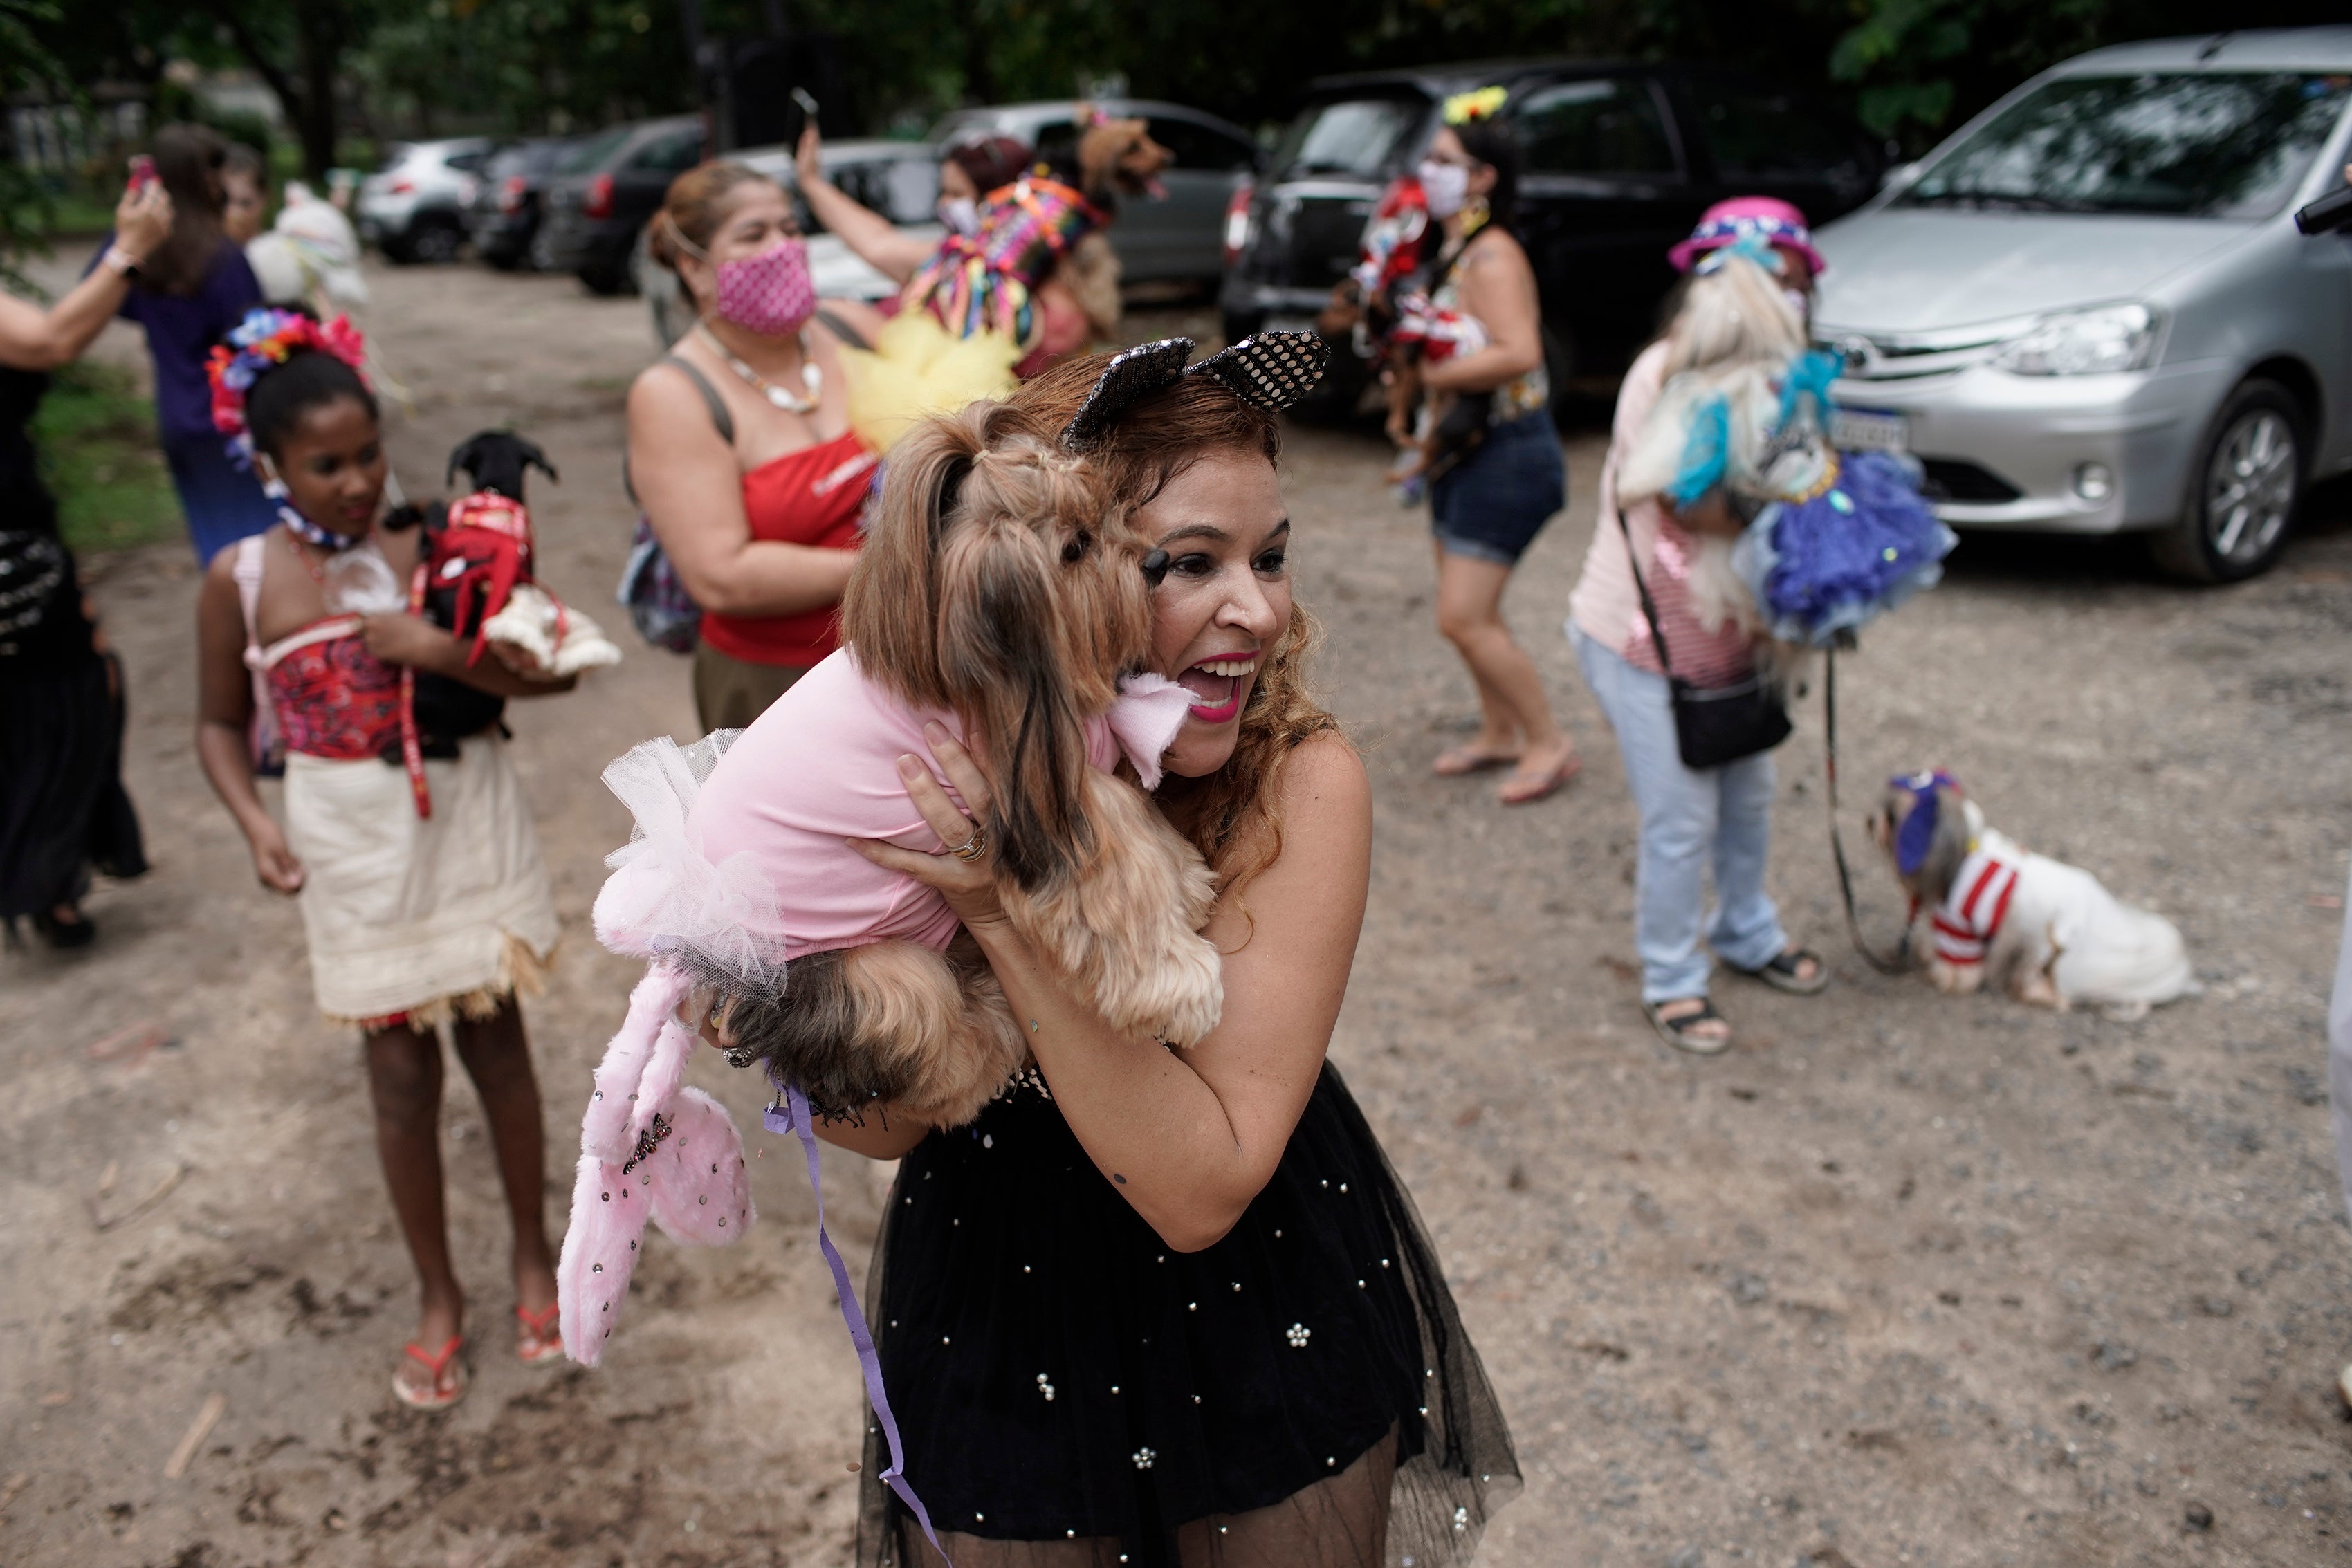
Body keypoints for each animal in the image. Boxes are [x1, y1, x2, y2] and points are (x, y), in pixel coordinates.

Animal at [1862, 771, 2192, 1020]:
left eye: (1892, 816)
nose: (1869, 821)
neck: (1960, 852)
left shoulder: (1958, 928)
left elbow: (1960, 969)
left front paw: (1942, 977)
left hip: (2050, 951)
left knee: (2055, 992)